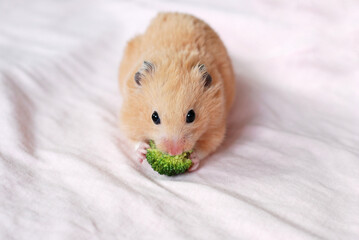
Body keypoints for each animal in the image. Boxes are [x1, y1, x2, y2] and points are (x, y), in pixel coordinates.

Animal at [119, 12, 236, 171]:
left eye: (191, 116)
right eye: (154, 117)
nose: (175, 152)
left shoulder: (216, 124)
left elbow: (207, 146)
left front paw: (193, 160)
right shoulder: (128, 117)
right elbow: (131, 137)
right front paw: (143, 151)